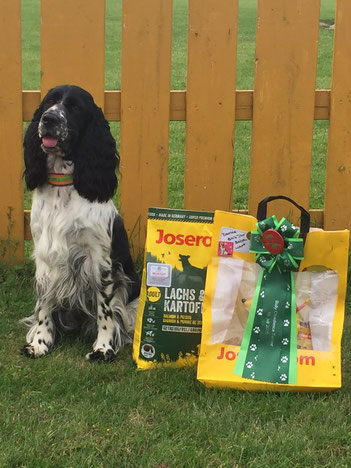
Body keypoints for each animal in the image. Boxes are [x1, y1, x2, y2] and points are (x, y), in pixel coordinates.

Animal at [21, 84, 140, 362]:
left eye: (74, 107)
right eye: (48, 103)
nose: (49, 119)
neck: (63, 188)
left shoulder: (100, 259)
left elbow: (105, 310)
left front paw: (103, 348)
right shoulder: (45, 255)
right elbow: (45, 304)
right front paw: (41, 343)